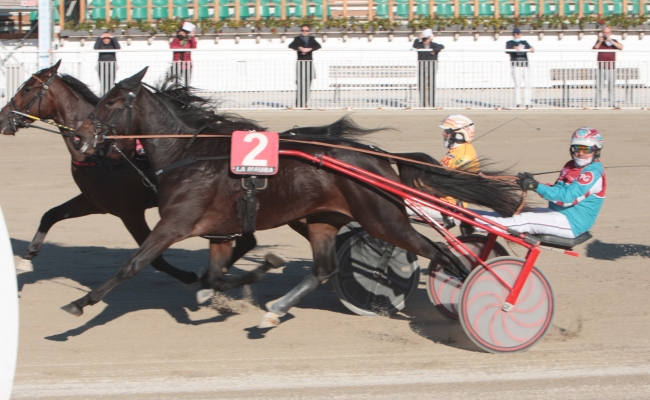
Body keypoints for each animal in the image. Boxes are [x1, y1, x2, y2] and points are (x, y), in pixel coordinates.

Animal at [68, 68, 520, 328]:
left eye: (111, 102)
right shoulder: (218, 232)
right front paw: (250, 277)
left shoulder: (174, 225)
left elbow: (132, 265)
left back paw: (485, 298)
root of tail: (376, 160)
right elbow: (216, 275)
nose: (79, 136)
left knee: (445, 256)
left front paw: (80, 304)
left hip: (383, 220)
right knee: (323, 268)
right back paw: (275, 311)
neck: (188, 154)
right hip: (323, 219)